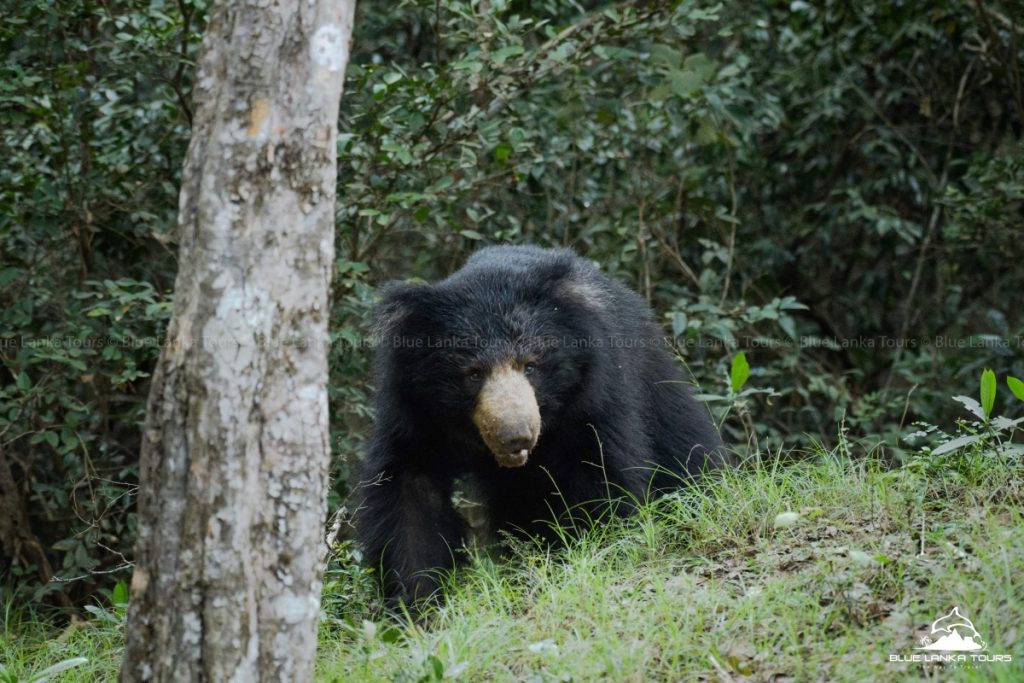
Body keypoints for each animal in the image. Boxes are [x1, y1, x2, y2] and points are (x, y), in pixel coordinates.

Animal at [360, 245, 729, 602]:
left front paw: (584, 553)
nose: (516, 437)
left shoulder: (591, 395)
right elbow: (410, 495)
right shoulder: (414, 411)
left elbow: (597, 473)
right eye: (473, 374)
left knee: (684, 448)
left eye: (531, 366)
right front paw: (415, 603)